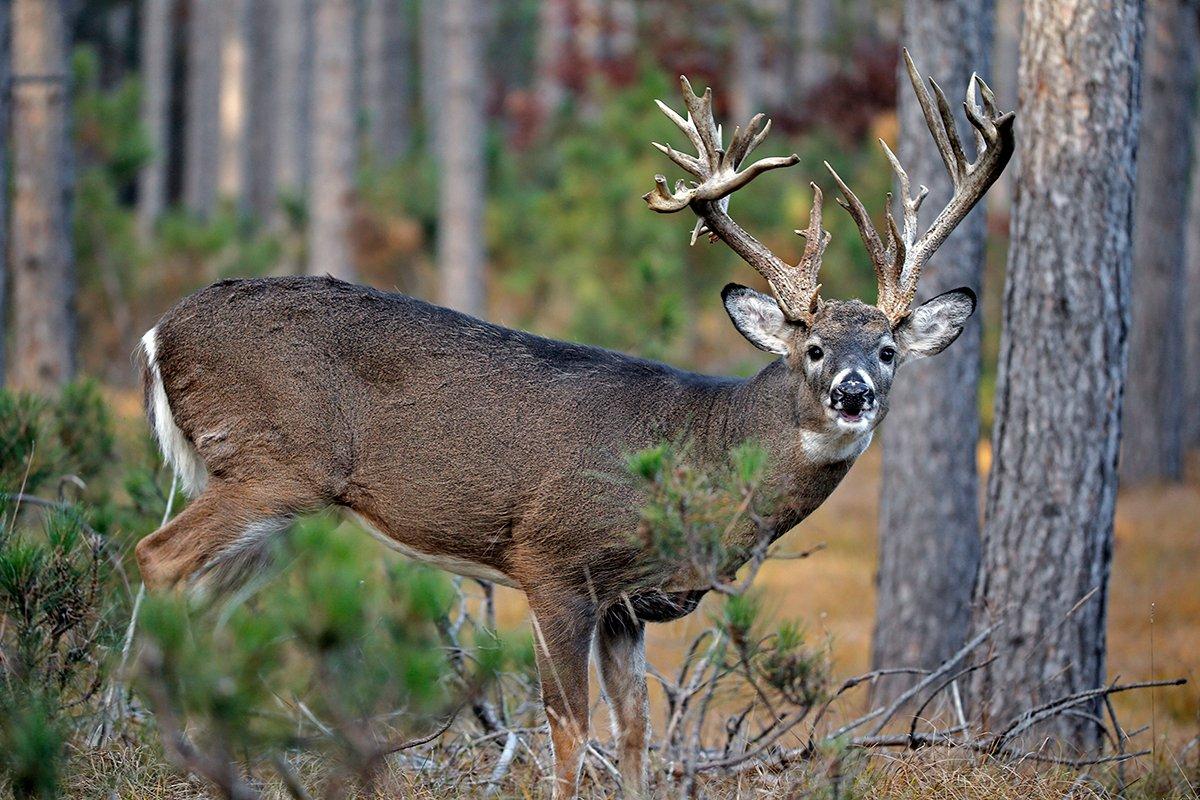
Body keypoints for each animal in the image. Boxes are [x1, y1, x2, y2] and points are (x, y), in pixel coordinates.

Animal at [136, 51, 1008, 800]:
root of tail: (159, 333)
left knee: (208, 596)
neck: (700, 448)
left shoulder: (628, 606)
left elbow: (635, 732)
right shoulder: (552, 562)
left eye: (889, 350)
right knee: (158, 558)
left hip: (284, 509)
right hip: (273, 463)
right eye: (814, 348)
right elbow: (567, 727)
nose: (854, 394)